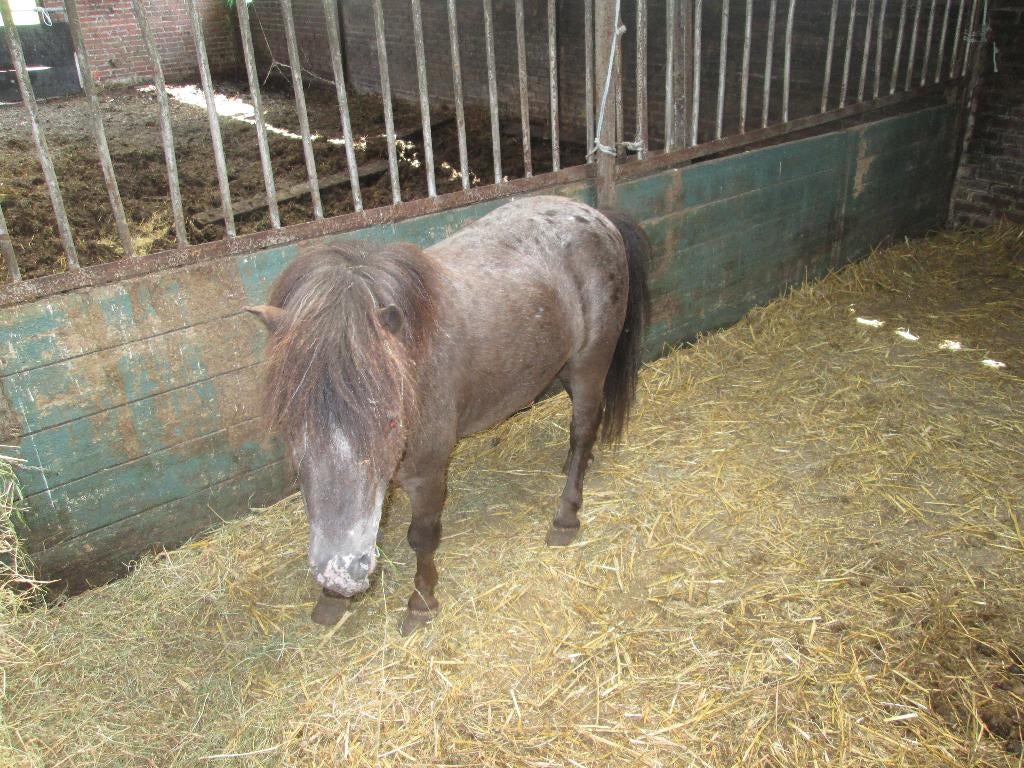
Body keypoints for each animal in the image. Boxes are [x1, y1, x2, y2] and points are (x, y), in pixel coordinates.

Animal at [245, 196, 650, 635]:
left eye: (390, 421)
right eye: (292, 425)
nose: (341, 572)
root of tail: (596, 214)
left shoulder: (428, 474)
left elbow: (422, 537)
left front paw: (421, 602)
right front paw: (331, 601)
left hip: (589, 363)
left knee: (583, 427)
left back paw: (565, 517)